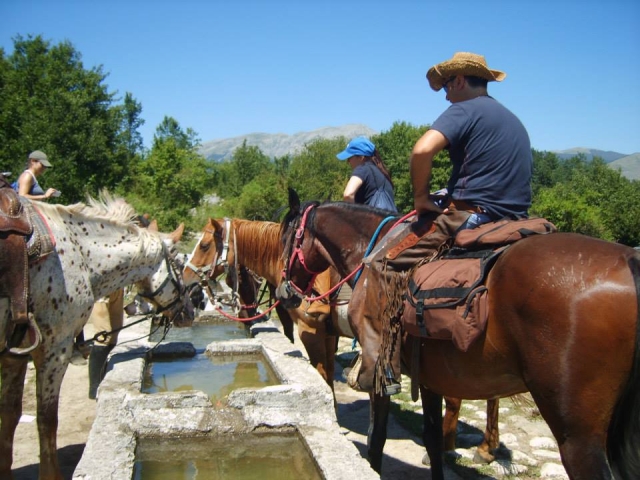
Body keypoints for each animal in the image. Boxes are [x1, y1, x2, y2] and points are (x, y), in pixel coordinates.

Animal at [0, 193, 194, 480]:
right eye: (180, 264)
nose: (190, 312)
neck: (79, 253)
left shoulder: (15, 355)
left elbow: (10, 415)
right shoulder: (54, 350)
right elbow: (46, 419)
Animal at [185, 217, 501, 462]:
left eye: (204, 245)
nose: (188, 283)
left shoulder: (310, 331)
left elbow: (322, 374)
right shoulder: (327, 334)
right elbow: (324, 373)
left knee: (458, 396)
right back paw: (485, 448)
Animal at [277, 189, 640, 480]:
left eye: (285, 238)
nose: (285, 293)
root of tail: (629, 260)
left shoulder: (378, 369)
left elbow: (375, 437)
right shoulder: (430, 377)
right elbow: (432, 437)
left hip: (577, 435)